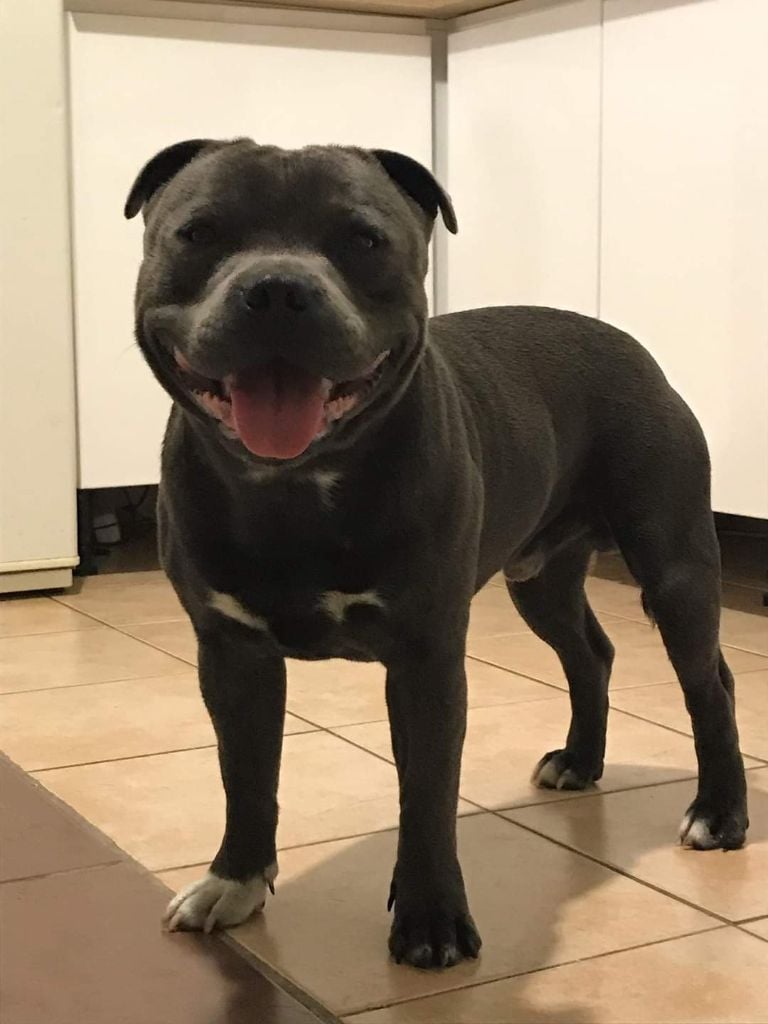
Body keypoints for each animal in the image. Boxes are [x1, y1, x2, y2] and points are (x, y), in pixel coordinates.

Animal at [125, 138, 747, 969]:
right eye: (198, 234)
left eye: (365, 240)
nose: (278, 289)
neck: (296, 486)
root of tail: (629, 344)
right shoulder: (232, 656)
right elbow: (245, 775)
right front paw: (236, 879)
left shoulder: (426, 657)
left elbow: (425, 793)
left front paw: (430, 920)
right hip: (542, 580)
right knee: (591, 655)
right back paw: (581, 760)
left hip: (674, 568)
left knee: (710, 684)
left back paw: (721, 812)